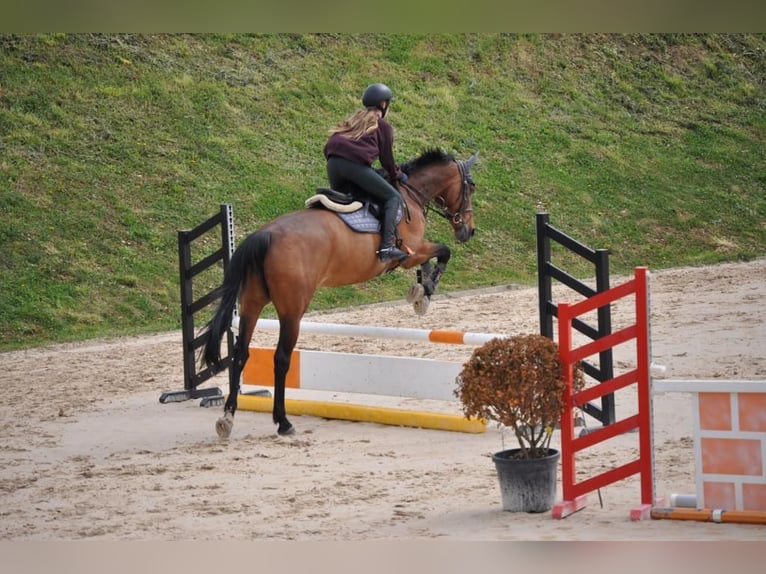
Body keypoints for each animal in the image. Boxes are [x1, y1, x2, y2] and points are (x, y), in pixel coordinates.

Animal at [204, 151, 480, 438]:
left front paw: (420, 289)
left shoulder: (416, 252)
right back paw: (283, 422)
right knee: (281, 358)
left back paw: (227, 418)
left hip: (251, 303)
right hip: (292, 310)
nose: (468, 231)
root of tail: (264, 235)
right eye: (471, 187)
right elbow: (444, 252)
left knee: (240, 354)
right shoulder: (412, 251)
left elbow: (432, 259)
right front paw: (425, 292)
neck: (410, 194)